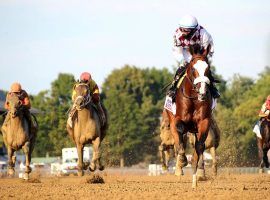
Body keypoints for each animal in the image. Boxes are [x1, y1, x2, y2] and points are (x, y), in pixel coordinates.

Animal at [166, 43, 214, 188]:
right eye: (193, 68)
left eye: (208, 68)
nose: (203, 92)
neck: (193, 98)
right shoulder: (178, 121)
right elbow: (180, 139)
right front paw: (181, 162)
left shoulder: (204, 122)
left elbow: (199, 147)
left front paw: (196, 178)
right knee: (178, 141)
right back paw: (179, 167)